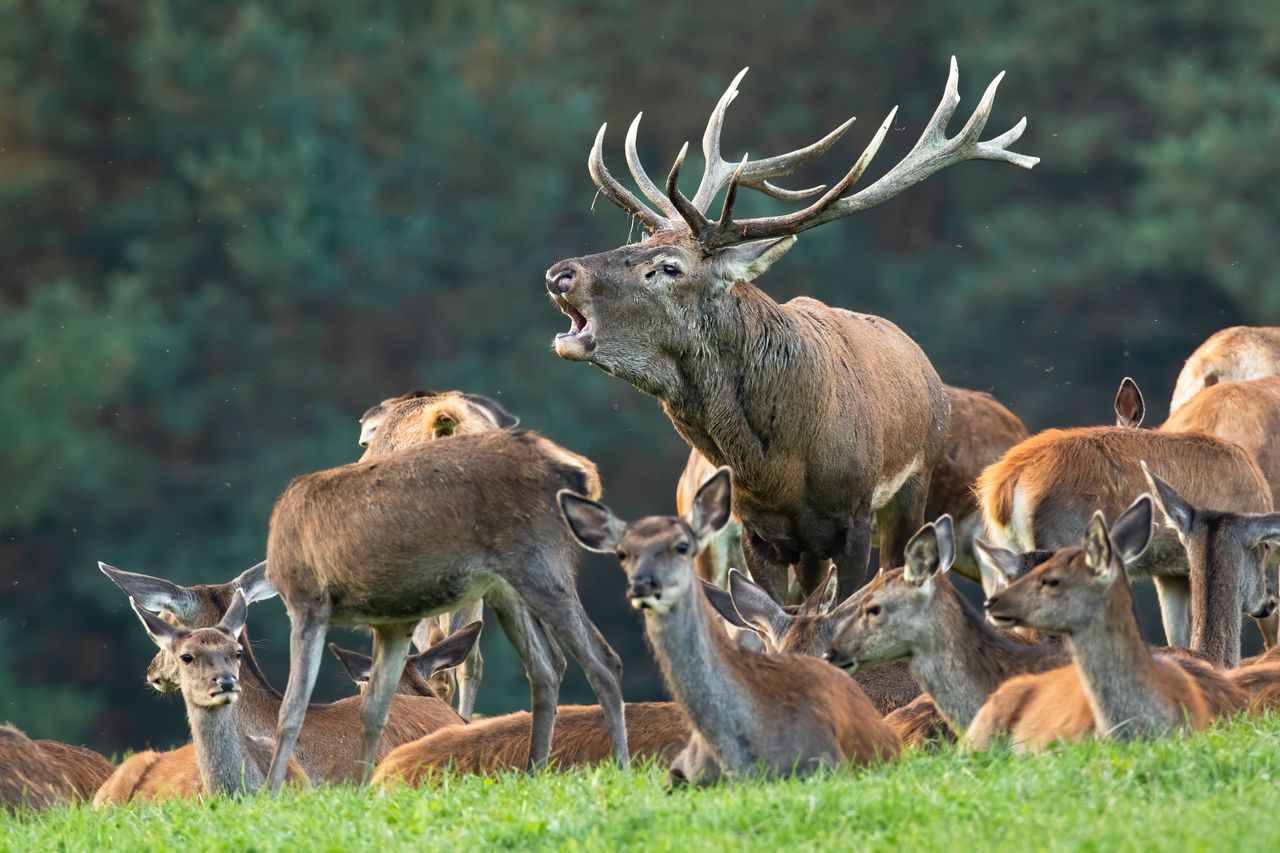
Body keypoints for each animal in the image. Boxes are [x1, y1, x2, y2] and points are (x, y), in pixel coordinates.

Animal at [262, 428, 627, 789]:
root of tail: (579, 469)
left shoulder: (307, 602)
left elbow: (291, 709)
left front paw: (272, 790)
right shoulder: (392, 623)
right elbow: (374, 708)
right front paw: (366, 785)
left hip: (537, 557)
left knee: (602, 659)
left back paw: (621, 768)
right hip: (504, 584)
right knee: (547, 665)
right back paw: (535, 770)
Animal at [545, 58, 1037, 603]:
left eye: (669, 267)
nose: (561, 273)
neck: (780, 469)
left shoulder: (854, 519)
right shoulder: (758, 532)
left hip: (915, 490)